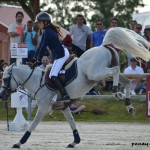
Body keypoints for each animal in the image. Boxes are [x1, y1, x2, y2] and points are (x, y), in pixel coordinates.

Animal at [0, 27, 150, 149]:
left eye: (5, 79)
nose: (2, 95)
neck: (37, 81)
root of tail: (102, 46)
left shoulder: (43, 108)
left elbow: (32, 126)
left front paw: (19, 143)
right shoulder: (64, 107)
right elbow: (72, 123)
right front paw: (74, 142)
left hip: (96, 73)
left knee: (115, 70)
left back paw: (115, 92)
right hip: (100, 74)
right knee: (127, 81)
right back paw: (129, 106)